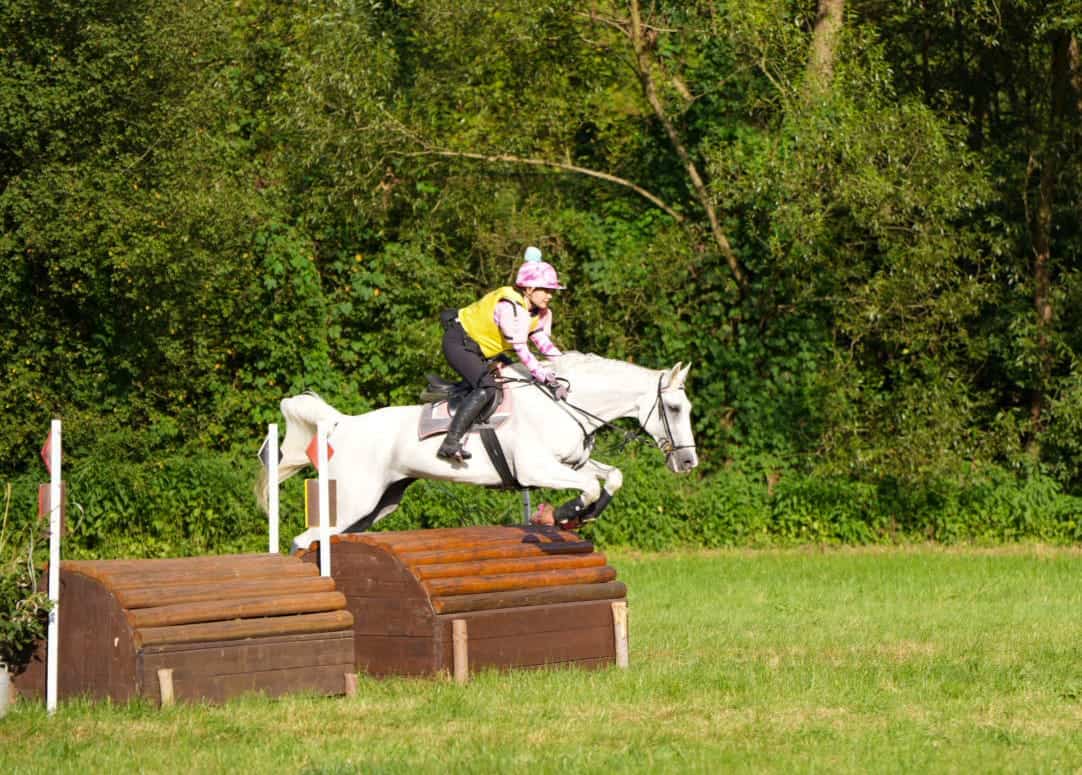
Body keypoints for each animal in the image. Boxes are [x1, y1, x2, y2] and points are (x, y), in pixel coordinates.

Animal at [257, 350, 696, 552]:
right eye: (674, 408)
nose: (689, 462)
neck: (565, 404)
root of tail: (343, 424)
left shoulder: (572, 463)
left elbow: (610, 477)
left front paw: (583, 515)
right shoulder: (536, 468)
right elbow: (587, 486)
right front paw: (563, 515)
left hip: (376, 507)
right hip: (354, 501)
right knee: (306, 537)